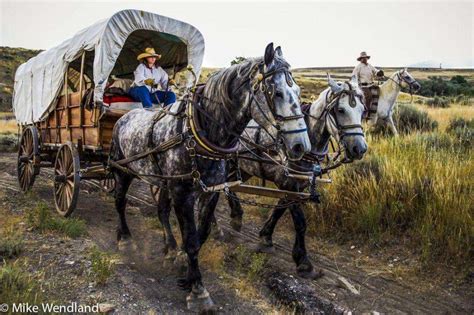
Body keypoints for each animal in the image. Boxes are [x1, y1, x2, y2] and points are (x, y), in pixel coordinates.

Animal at [110, 43, 312, 312]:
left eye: (298, 92)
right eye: (277, 93)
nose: (301, 146)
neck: (199, 132)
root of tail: (123, 118)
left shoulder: (211, 191)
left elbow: (201, 235)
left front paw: (184, 266)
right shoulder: (183, 193)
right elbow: (191, 239)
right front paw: (198, 291)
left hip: (163, 181)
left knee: (161, 211)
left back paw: (169, 248)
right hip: (123, 171)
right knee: (120, 202)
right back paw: (125, 239)